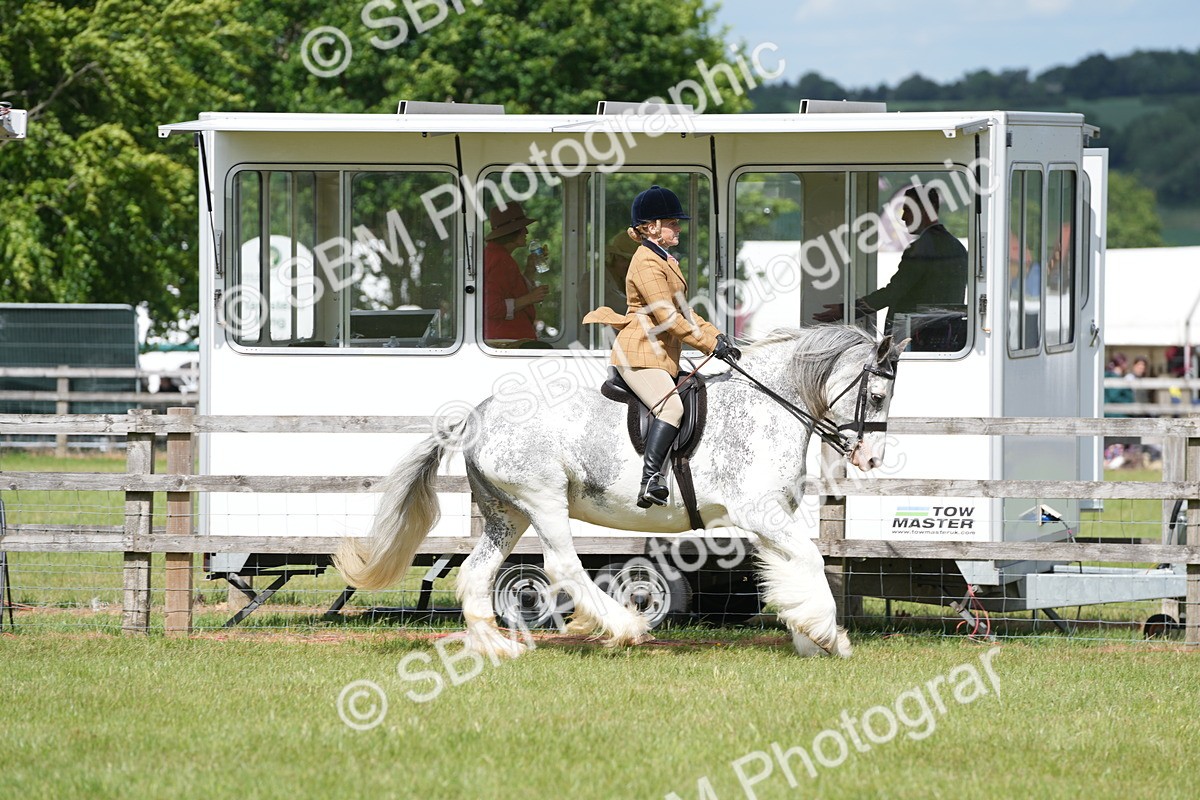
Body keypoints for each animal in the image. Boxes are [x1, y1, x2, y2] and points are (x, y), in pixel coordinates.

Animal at [334, 324, 907, 659]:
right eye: (877, 395)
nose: (872, 459)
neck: (769, 404)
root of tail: (476, 416)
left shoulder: (773, 514)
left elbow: (790, 570)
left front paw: (807, 636)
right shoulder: (761, 512)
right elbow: (811, 560)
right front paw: (830, 637)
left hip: (506, 512)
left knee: (478, 572)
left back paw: (499, 648)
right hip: (543, 498)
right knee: (562, 565)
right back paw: (626, 627)